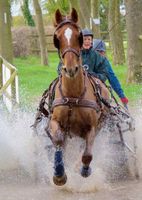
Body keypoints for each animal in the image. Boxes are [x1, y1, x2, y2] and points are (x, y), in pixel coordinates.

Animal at [43, 8, 109, 186]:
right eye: (57, 38)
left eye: (78, 36)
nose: (71, 69)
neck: (73, 95)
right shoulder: (55, 122)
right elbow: (58, 143)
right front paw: (59, 174)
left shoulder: (92, 127)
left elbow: (87, 154)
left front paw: (84, 169)